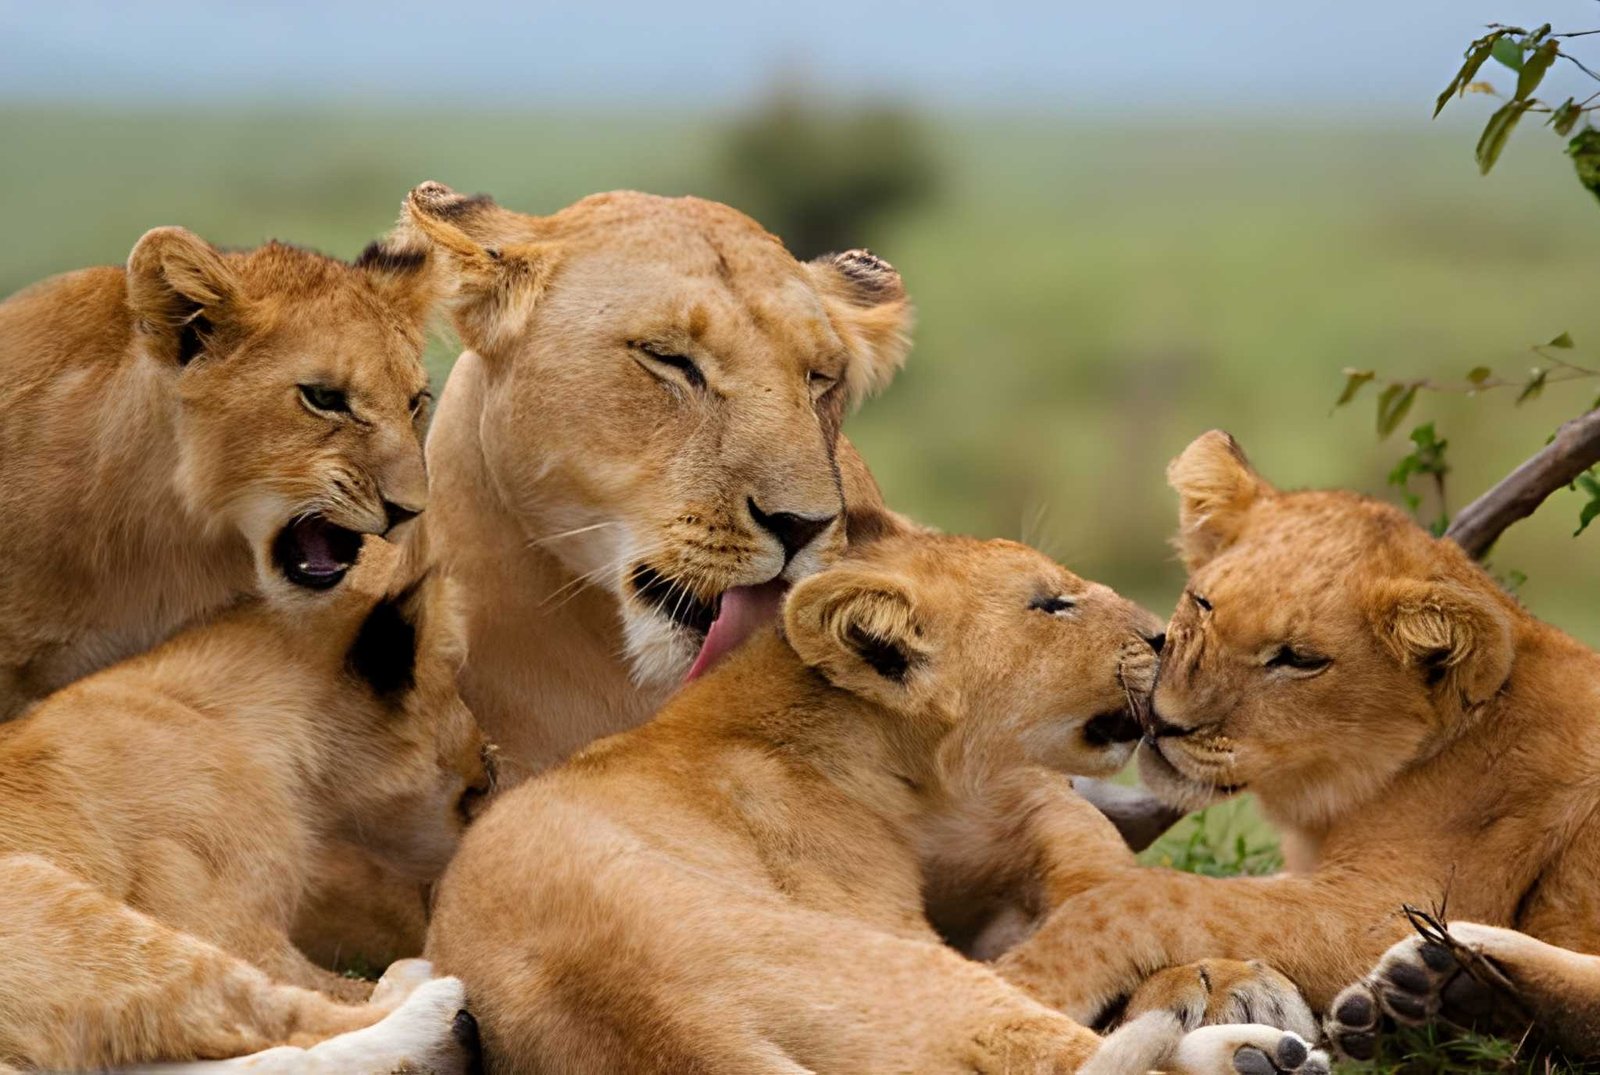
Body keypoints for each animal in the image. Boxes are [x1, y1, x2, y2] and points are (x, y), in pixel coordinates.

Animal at [0, 538, 492, 1071]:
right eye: (456, 681)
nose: (492, 753)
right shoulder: (222, 918)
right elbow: (320, 995)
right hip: (54, 894)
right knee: (290, 1022)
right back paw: (430, 1005)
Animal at [986, 429, 1600, 1056]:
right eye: (1203, 603)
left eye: (1300, 660)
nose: (1162, 720)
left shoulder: (1387, 902)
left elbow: (1154, 896)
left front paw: (1027, 978)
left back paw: (1452, 984)